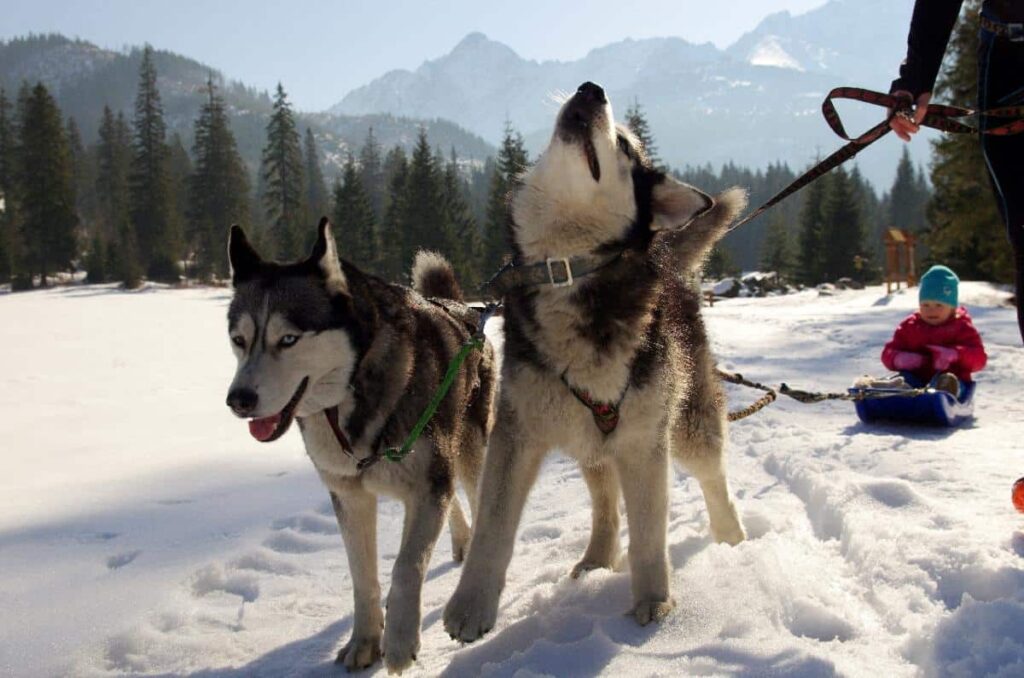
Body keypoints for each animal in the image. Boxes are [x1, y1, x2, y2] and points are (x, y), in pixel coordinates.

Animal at [225, 222, 495, 675]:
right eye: (238, 340)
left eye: (289, 338)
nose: (238, 399)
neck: (347, 404)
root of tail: (462, 307)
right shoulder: (350, 496)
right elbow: (362, 577)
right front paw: (366, 640)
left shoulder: (426, 485)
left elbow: (406, 566)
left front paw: (399, 642)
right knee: (456, 501)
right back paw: (460, 541)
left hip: (471, 450)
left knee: (476, 497)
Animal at [444, 82, 749, 639]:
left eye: (625, 146)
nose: (592, 89)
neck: (568, 269)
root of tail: (669, 263)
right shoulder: (516, 433)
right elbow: (492, 528)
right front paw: (470, 606)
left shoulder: (646, 437)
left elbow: (650, 533)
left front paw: (655, 602)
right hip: (588, 437)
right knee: (605, 501)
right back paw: (598, 557)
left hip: (685, 425)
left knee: (714, 479)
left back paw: (733, 539)